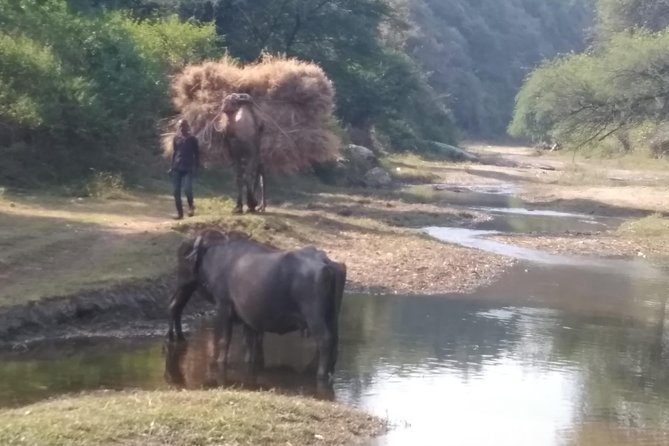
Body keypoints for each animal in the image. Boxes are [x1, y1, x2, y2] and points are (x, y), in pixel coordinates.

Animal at [167, 230, 348, 380]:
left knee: (325, 340)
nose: (180, 279)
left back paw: (321, 374)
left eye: (183, 257)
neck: (216, 257)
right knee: (335, 340)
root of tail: (325, 263)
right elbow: (249, 344)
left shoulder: (224, 307)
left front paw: (220, 363)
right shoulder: (249, 319)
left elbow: (225, 340)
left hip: (314, 316)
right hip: (332, 316)